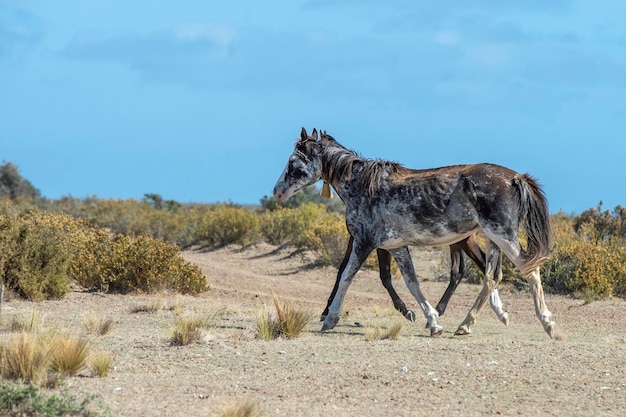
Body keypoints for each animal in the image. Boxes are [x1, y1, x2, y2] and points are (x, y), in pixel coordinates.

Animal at [272, 127, 556, 338]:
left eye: (293, 161)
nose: (277, 192)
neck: (362, 186)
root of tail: (515, 177)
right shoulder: (395, 246)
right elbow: (411, 283)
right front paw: (432, 321)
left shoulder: (364, 242)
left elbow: (345, 277)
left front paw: (330, 318)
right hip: (494, 239)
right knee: (491, 277)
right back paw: (468, 323)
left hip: (502, 236)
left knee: (528, 270)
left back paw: (548, 325)